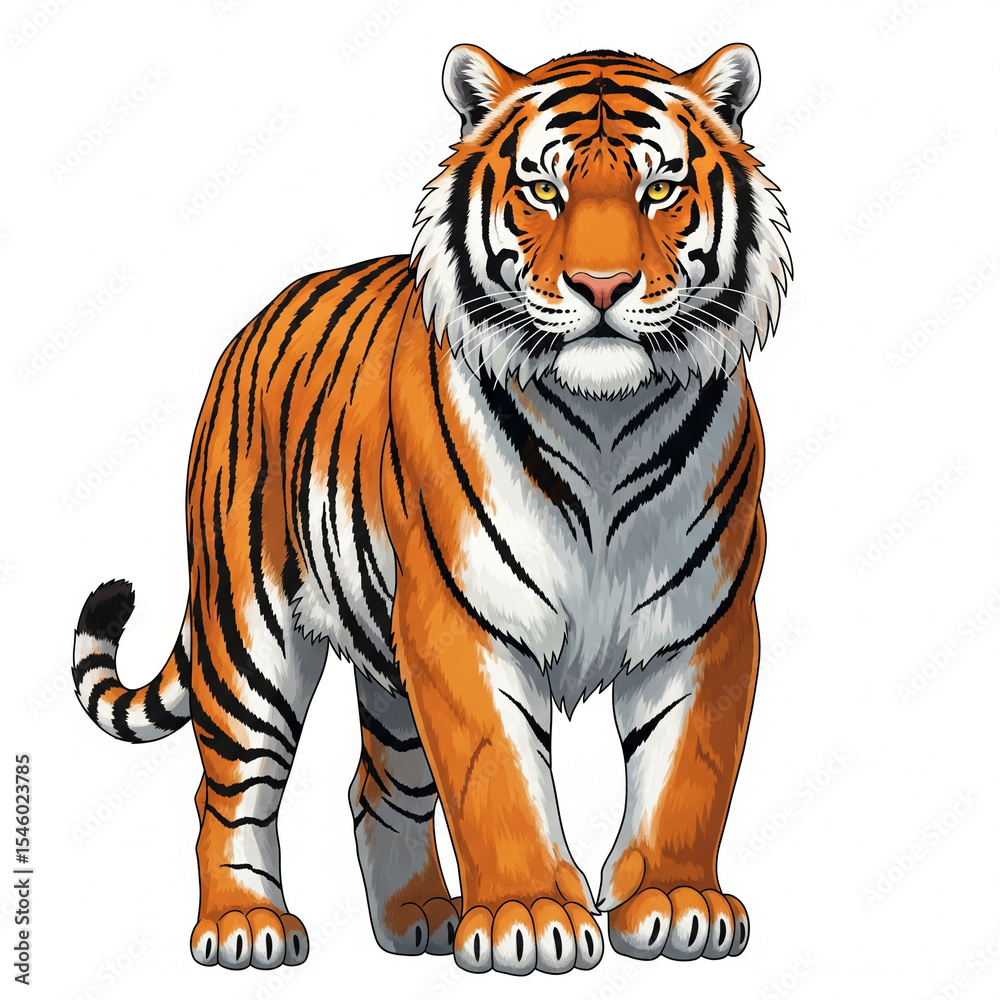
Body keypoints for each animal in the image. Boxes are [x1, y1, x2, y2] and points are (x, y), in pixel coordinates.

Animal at [71, 42, 791, 975]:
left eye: (660, 189)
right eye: (543, 189)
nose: (601, 285)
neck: (606, 420)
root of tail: (252, 323)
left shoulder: (705, 622)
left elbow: (688, 769)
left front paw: (674, 904)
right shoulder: (461, 622)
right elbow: (498, 773)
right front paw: (530, 915)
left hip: (390, 669)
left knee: (376, 785)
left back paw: (415, 917)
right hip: (250, 636)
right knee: (226, 793)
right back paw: (244, 926)